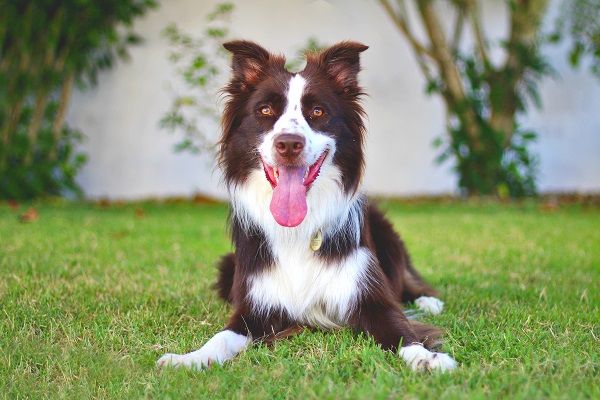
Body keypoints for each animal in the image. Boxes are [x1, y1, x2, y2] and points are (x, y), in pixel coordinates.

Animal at [157, 39, 458, 372]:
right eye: (265, 110)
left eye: (317, 111)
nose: (288, 144)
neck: (297, 229)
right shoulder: (253, 306)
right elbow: (221, 337)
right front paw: (189, 358)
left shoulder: (370, 297)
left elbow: (402, 332)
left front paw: (428, 358)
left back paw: (428, 301)